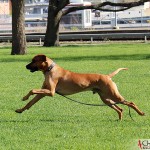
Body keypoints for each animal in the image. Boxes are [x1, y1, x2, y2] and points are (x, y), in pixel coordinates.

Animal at [14, 54, 144, 120]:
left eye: (33, 60)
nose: (26, 66)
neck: (50, 70)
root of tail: (107, 76)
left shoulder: (50, 92)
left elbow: (32, 90)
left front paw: (24, 97)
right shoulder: (43, 93)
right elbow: (30, 103)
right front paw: (20, 109)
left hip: (113, 95)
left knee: (130, 103)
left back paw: (140, 113)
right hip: (106, 99)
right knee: (120, 108)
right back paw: (120, 119)